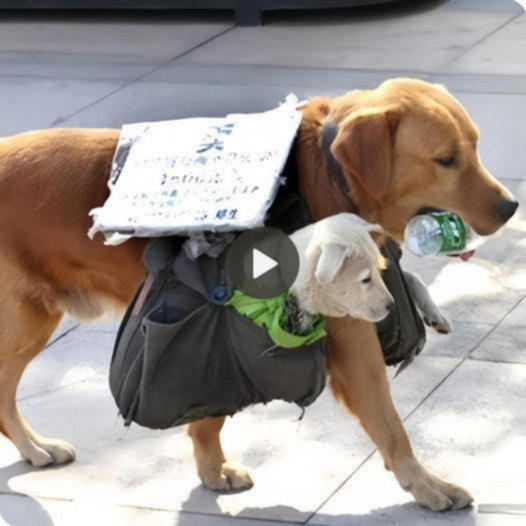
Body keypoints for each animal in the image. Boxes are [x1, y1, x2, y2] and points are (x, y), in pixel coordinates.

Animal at [0, 80, 520, 512]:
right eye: (445, 159)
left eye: (474, 147)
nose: (511, 206)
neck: (328, 177)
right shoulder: (347, 340)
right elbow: (390, 426)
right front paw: (427, 486)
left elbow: (208, 407)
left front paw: (209, 466)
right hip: (24, 324)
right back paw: (34, 447)